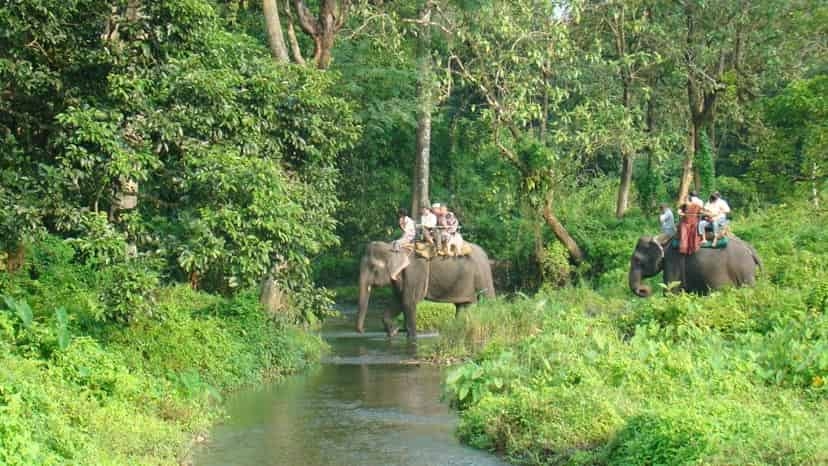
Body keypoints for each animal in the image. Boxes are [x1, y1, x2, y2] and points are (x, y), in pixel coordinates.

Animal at [356, 241, 496, 338]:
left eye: (373, 268)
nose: (363, 331)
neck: (392, 246)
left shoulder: (414, 273)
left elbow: (408, 302)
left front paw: (411, 338)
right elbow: (398, 301)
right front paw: (393, 332)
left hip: (483, 275)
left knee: (488, 301)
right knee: (462, 307)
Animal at [628, 236, 762, 297]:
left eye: (637, 260)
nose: (644, 289)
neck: (662, 240)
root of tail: (750, 249)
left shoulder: (673, 261)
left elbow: (671, 291)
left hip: (744, 271)